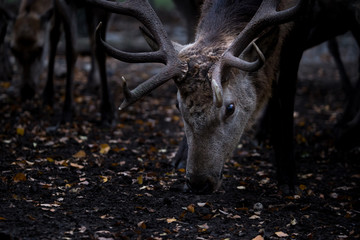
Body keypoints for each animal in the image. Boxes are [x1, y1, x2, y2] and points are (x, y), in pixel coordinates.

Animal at [83, 0, 358, 193]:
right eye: (177, 105)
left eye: (230, 107)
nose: (198, 183)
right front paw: (179, 157)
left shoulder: (300, 26)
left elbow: (286, 94)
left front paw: (288, 178)